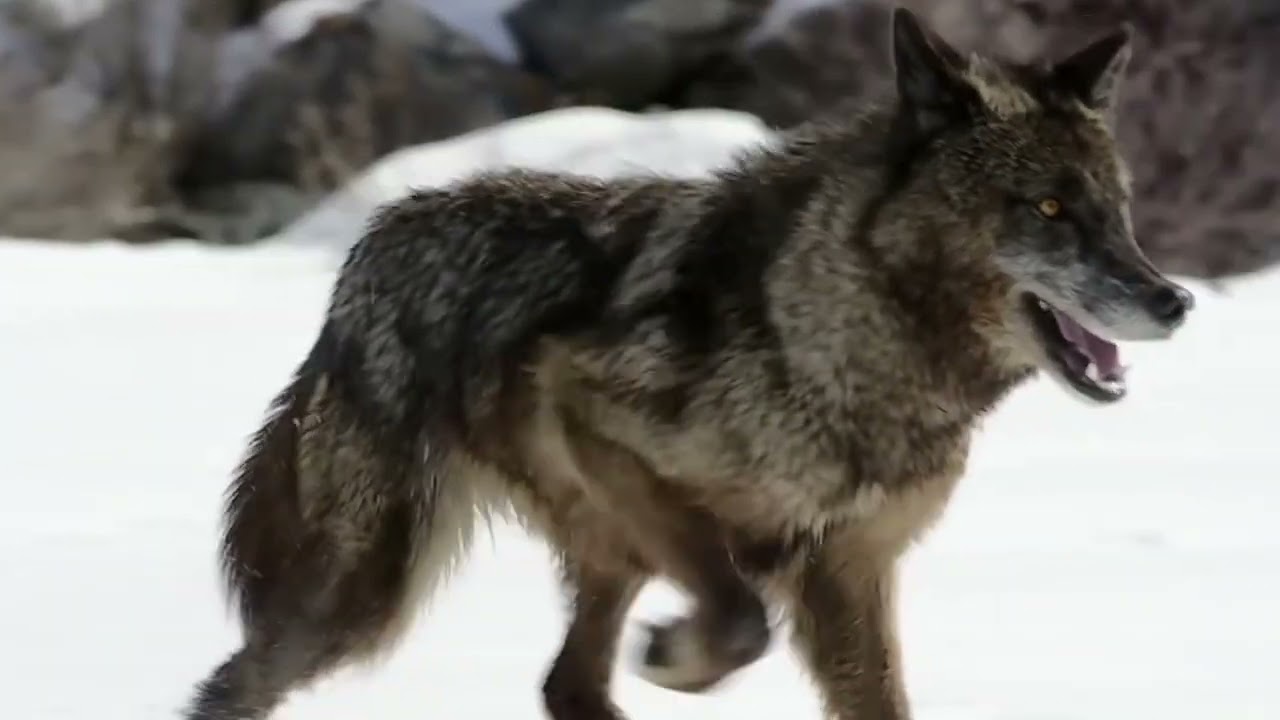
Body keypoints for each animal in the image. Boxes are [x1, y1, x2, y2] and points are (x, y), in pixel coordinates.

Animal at [183, 8, 1194, 720]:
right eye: (1049, 209)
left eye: (1119, 208)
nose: (1174, 301)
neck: (840, 340)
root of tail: (372, 240)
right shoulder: (599, 422)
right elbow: (739, 620)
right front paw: (676, 658)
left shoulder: (852, 574)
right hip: (374, 594)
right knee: (238, 681)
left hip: (597, 560)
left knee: (566, 687)